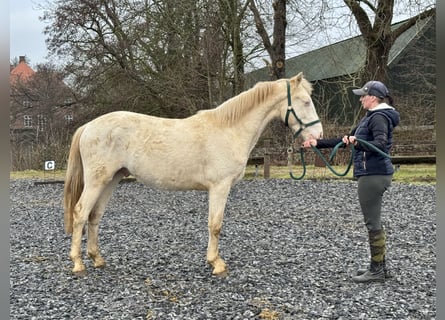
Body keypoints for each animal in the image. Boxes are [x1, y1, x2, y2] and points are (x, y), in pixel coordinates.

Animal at [63, 72, 322, 276]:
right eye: (306, 102)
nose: (318, 136)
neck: (229, 129)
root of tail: (88, 126)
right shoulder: (220, 187)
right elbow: (215, 225)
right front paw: (216, 264)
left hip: (111, 179)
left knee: (94, 216)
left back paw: (97, 259)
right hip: (97, 181)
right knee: (80, 213)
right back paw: (78, 263)